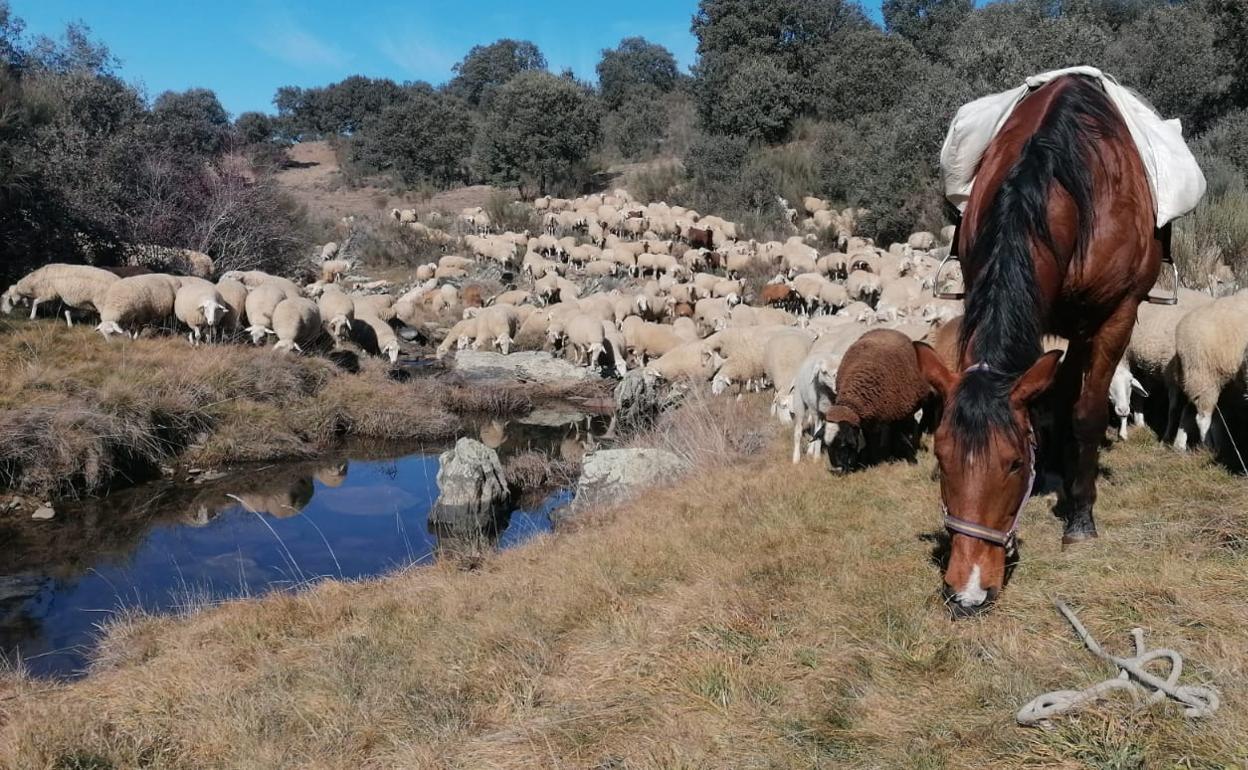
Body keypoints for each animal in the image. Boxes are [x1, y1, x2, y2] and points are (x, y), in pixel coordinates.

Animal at [913, 75, 1163, 616]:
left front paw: (1080, 520)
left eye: (1012, 464)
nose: (967, 592)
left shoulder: (1114, 317)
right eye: (941, 458)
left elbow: (1087, 413)